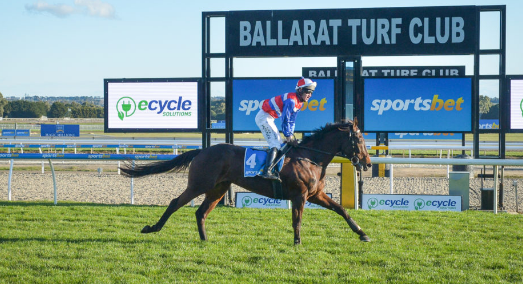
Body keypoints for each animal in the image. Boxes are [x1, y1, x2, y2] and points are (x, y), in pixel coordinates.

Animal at [119, 118, 372, 244]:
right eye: (359, 139)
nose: (368, 163)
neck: (310, 157)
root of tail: (202, 150)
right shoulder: (299, 195)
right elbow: (297, 221)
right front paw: (297, 242)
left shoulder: (315, 195)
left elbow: (342, 210)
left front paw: (362, 233)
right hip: (199, 184)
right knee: (174, 203)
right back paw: (153, 228)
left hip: (218, 189)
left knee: (201, 212)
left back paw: (204, 239)